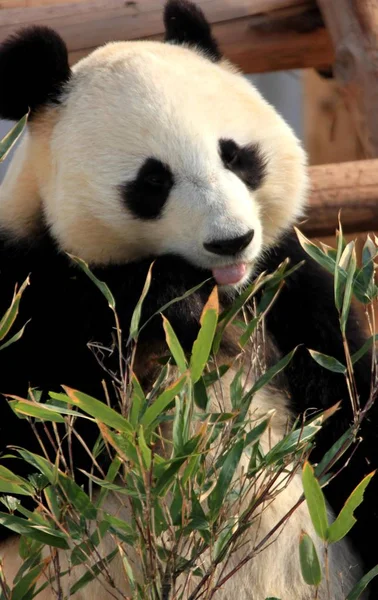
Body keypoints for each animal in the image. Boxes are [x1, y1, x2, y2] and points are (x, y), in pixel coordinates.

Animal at [0, 2, 376, 596]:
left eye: (236, 155)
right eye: (153, 181)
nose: (231, 240)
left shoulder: (291, 290)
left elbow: (349, 418)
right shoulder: (27, 284)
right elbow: (36, 450)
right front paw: (172, 307)